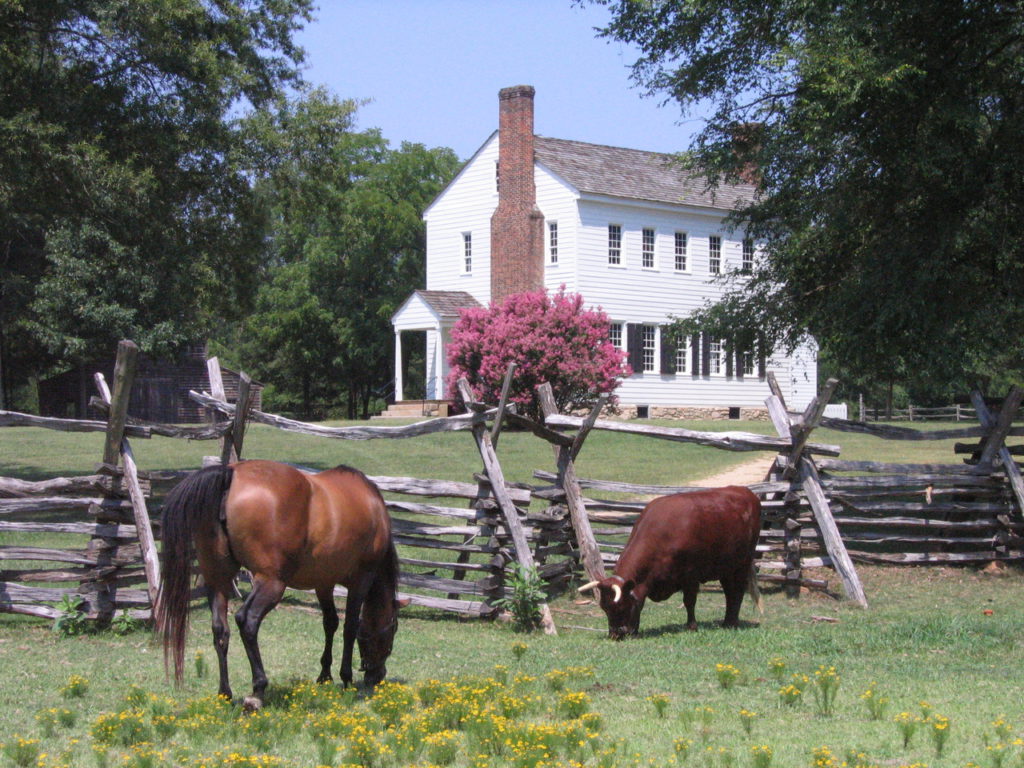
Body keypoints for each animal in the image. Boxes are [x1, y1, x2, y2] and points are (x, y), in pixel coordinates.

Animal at [153, 460, 401, 712]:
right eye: (392, 633)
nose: (377, 677)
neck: (371, 506)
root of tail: (230, 473)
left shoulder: (324, 582)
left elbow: (330, 623)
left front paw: (324, 676)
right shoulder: (361, 580)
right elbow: (350, 627)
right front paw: (346, 678)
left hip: (218, 580)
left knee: (220, 630)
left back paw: (225, 693)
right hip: (271, 583)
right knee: (247, 621)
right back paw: (257, 691)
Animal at [577, 487, 761, 643]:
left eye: (621, 606)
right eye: (604, 608)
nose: (615, 635)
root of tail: (745, 491)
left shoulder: (691, 575)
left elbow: (689, 601)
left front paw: (691, 626)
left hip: (742, 563)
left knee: (737, 592)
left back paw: (731, 623)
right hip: (726, 568)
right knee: (730, 592)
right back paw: (727, 622)